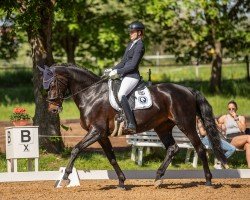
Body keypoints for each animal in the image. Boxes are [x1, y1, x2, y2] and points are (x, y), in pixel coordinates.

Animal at [40, 64, 228, 189]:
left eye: (53, 84)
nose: (53, 109)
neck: (91, 95)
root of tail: (188, 90)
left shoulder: (96, 131)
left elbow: (76, 149)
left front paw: (65, 178)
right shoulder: (102, 135)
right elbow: (111, 158)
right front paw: (122, 182)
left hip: (186, 124)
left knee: (200, 148)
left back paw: (209, 181)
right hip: (163, 127)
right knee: (173, 148)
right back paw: (158, 178)